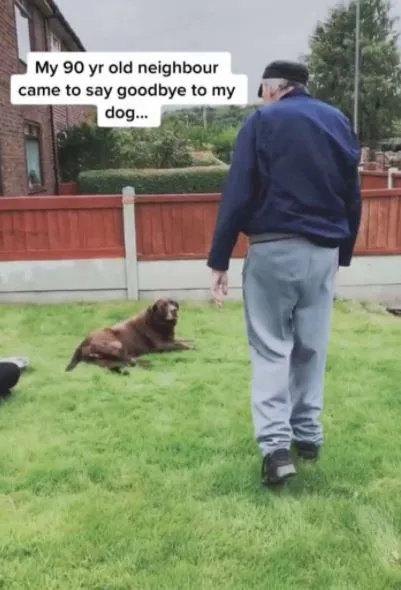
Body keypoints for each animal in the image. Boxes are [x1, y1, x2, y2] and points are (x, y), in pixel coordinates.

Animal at [65, 298, 195, 376]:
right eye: (163, 305)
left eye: (173, 303)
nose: (174, 310)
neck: (155, 321)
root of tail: (82, 343)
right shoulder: (161, 345)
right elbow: (180, 345)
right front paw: (191, 347)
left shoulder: (170, 339)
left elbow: (184, 340)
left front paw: (192, 341)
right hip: (117, 344)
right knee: (129, 361)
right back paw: (148, 364)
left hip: (103, 360)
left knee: (122, 363)